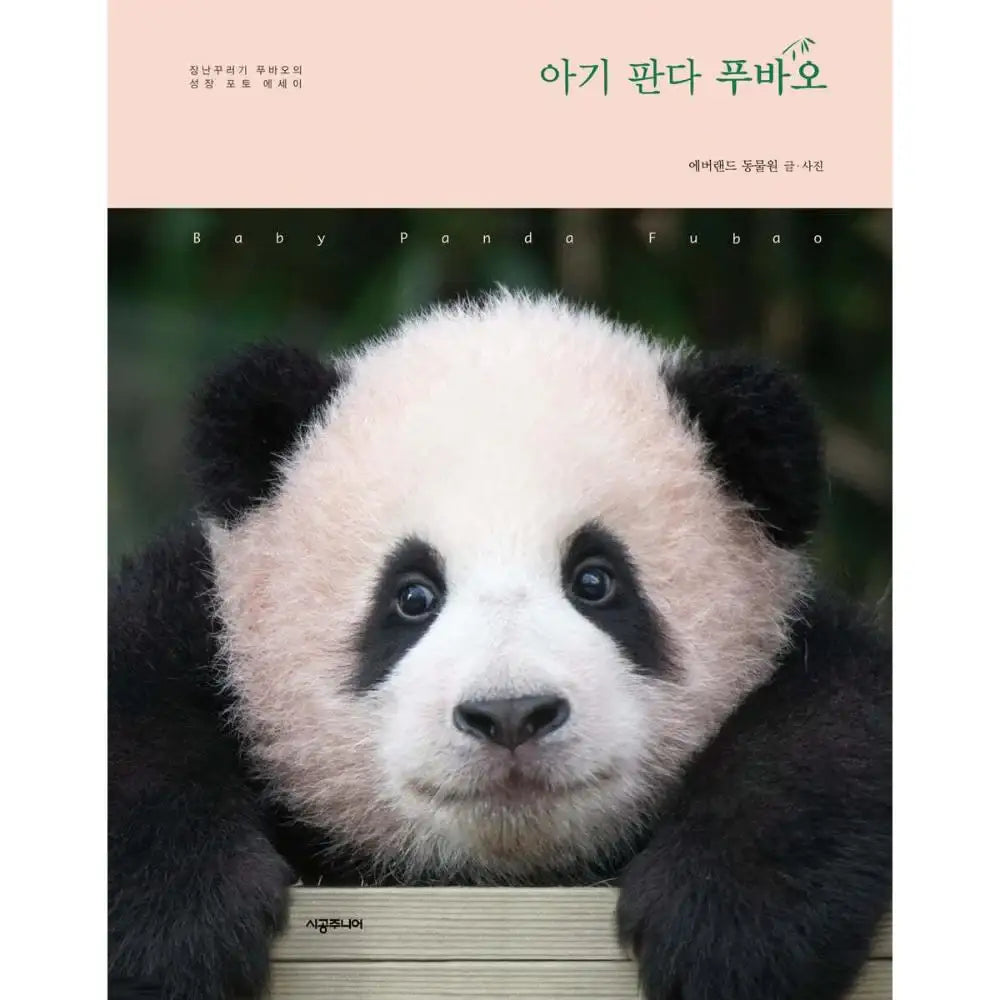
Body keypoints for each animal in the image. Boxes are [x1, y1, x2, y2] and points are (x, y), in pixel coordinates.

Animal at [109, 290, 891, 1000]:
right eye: (412, 596)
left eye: (596, 581)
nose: (511, 714)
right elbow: (136, 692)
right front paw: (181, 933)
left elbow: (837, 716)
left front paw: (727, 931)